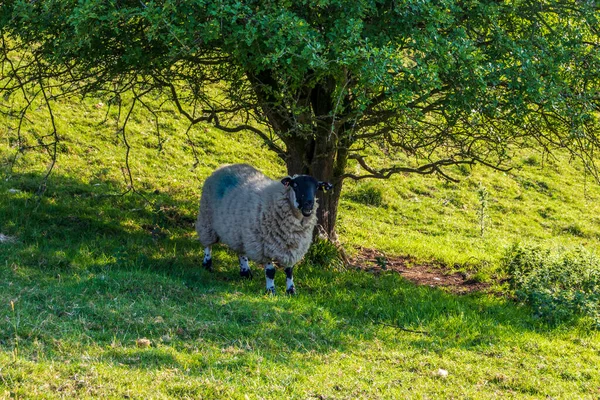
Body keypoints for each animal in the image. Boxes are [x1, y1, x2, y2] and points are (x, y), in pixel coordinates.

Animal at [197, 162, 332, 294]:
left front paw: (291, 291)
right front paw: (271, 291)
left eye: (317, 187)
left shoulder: (292, 247)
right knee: (208, 245)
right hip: (207, 219)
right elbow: (271, 271)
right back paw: (207, 264)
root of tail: (226, 165)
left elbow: (289, 271)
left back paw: (245, 272)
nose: (309, 204)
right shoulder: (264, 246)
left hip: (240, 231)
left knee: (241, 251)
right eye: (295, 185)